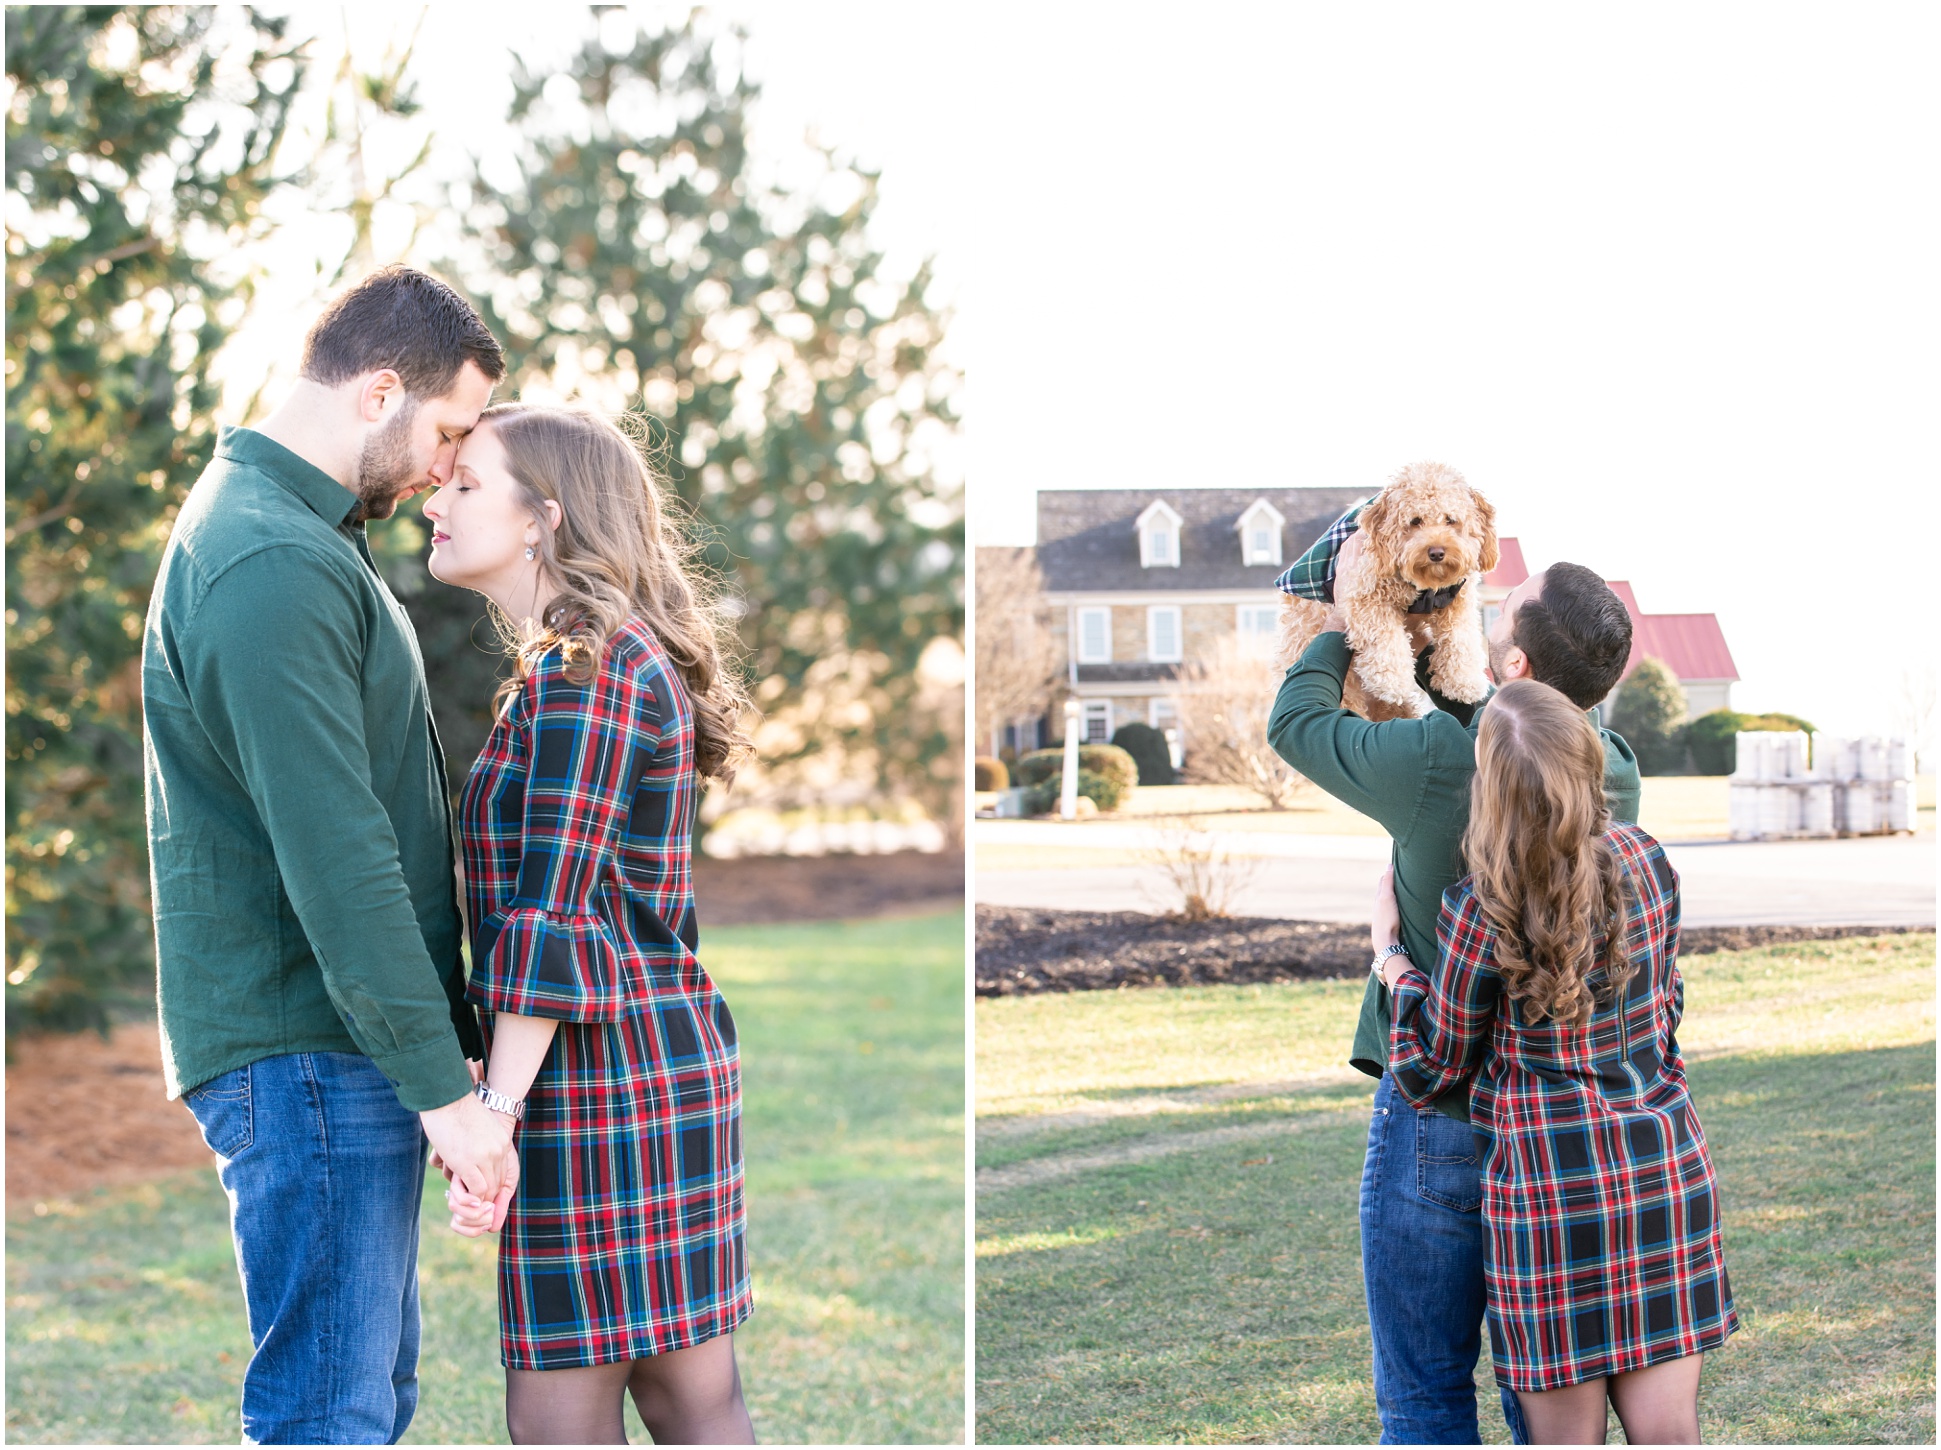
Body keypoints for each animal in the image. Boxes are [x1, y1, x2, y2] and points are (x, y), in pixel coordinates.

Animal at [1273, 460, 1498, 722]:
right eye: (1415, 521)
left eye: (1451, 520)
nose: (1436, 552)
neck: (1426, 587)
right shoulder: (1366, 595)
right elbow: (1384, 638)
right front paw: (1392, 681)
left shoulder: (1457, 599)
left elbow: (1461, 637)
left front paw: (1465, 682)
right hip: (1346, 692)